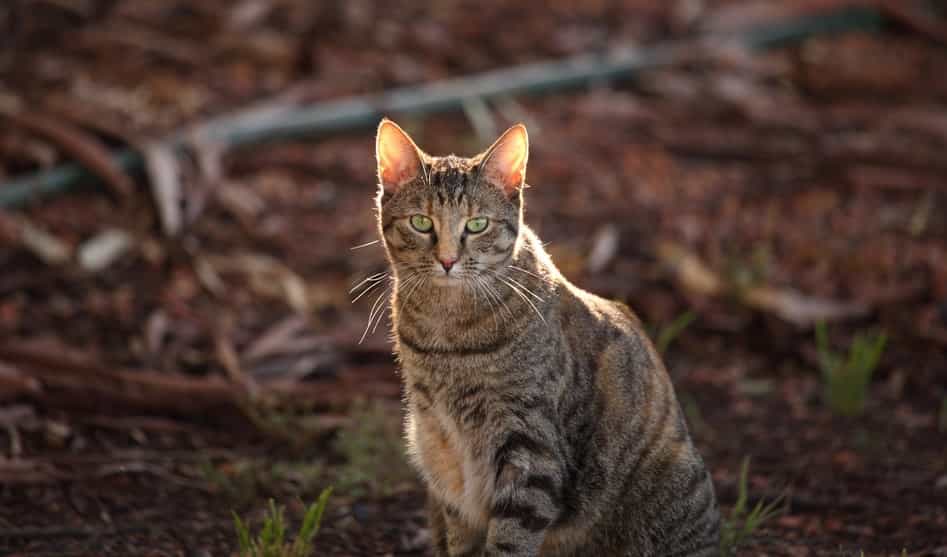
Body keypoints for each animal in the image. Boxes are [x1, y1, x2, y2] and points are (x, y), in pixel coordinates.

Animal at [370, 119, 720, 552]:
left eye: (477, 225)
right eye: (421, 222)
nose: (447, 260)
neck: (446, 330)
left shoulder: (530, 450)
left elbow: (509, 541)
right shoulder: (441, 446)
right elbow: (461, 537)